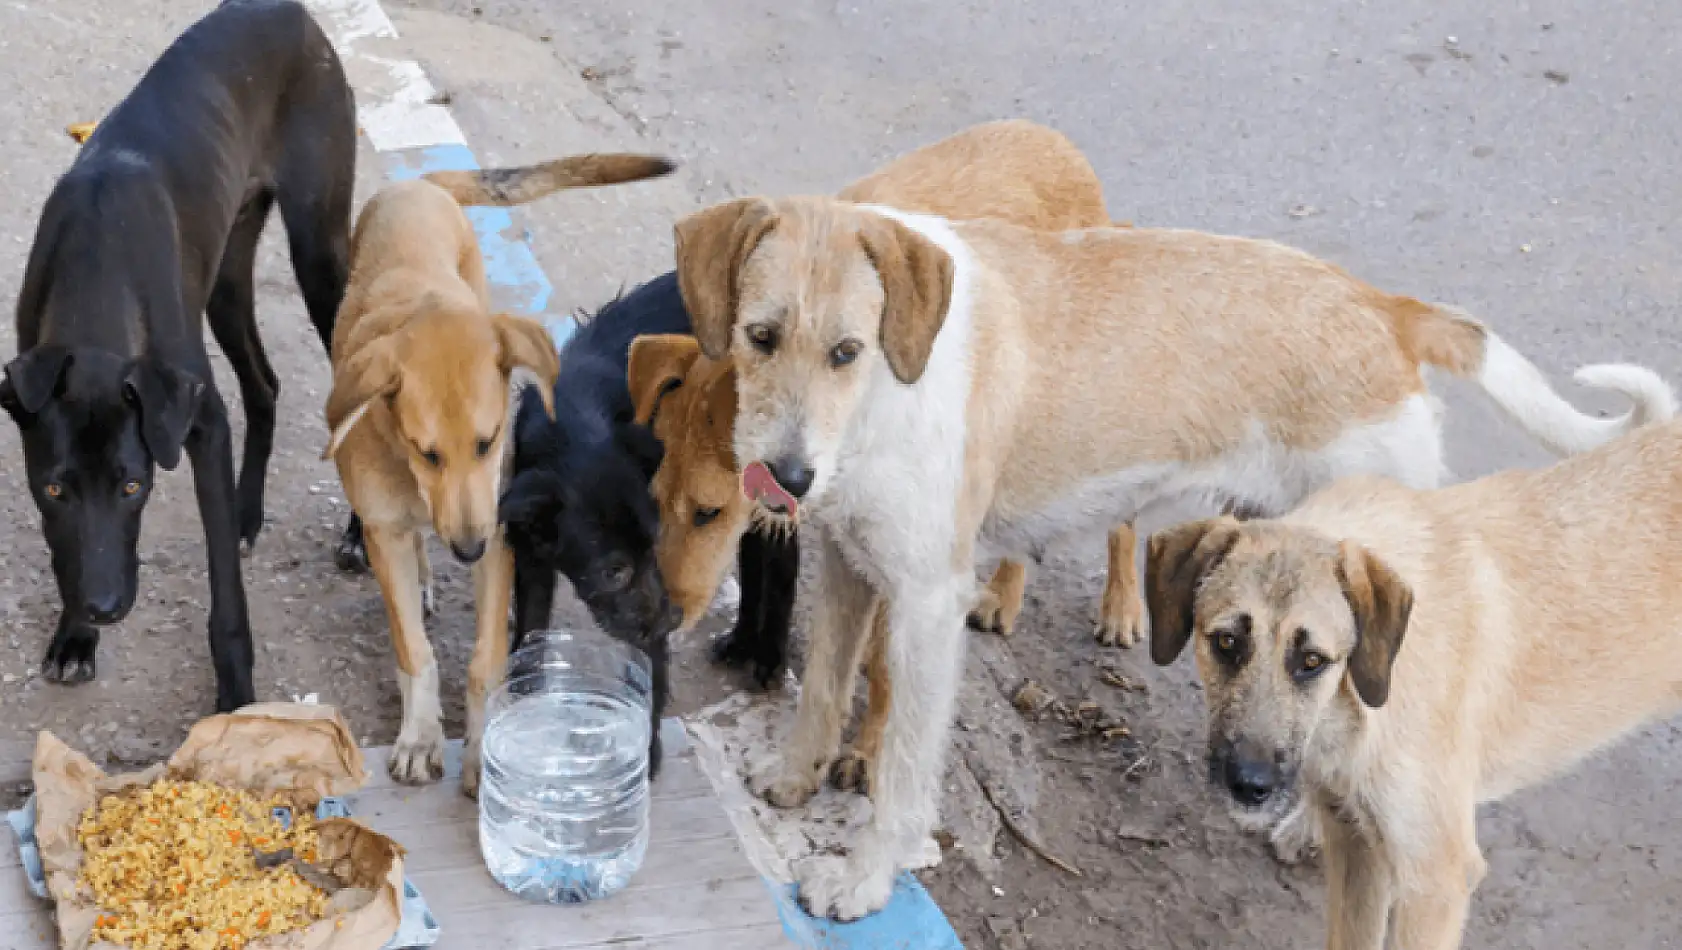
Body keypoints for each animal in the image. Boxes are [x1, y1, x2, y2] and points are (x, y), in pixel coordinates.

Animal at [0, 0, 354, 712]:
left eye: (134, 486)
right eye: (52, 487)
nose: (105, 608)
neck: (97, 271)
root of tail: (292, 12)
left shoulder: (201, 421)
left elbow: (226, 597)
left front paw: (238, 694)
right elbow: (68, 547)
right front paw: (74, 637)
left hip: (320, 257)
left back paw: (359, 534)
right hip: (225, 280)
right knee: (264, 384)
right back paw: (248, 511)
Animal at [324, 153, 672, 793]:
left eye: (488, 442)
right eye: (426, 452)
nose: (467, 550)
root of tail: (422, 186)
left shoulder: (502, 533)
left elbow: (488, 658)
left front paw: (485, 747)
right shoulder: (387, 529)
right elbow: (414, 650)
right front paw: (420, 735)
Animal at [494, 270, 797, 773]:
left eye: (652, 545)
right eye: (612, 570)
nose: (673, 621)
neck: (576, 424)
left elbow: (651, 669)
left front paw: (646, 747)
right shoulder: (531, 554)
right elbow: (532, 625)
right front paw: (525, 696)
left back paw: (770, 658)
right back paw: (740, 642)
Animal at [1143, 401, 1682, 948]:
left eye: (1312, 661)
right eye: (1226, 642)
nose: (1249, 786)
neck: (1359, 702)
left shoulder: (1435, 881)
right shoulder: (1357, 848)